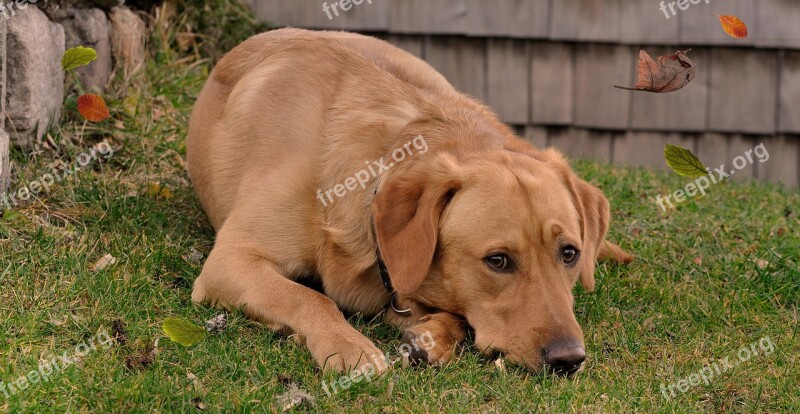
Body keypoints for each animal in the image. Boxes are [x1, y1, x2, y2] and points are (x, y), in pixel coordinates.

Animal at [188, 27, 632, 374]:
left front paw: (434, 334)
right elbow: (310, 297)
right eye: (498, 261)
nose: (569, 359)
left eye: (570, 254)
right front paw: (349, 345)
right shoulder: (231, 260)